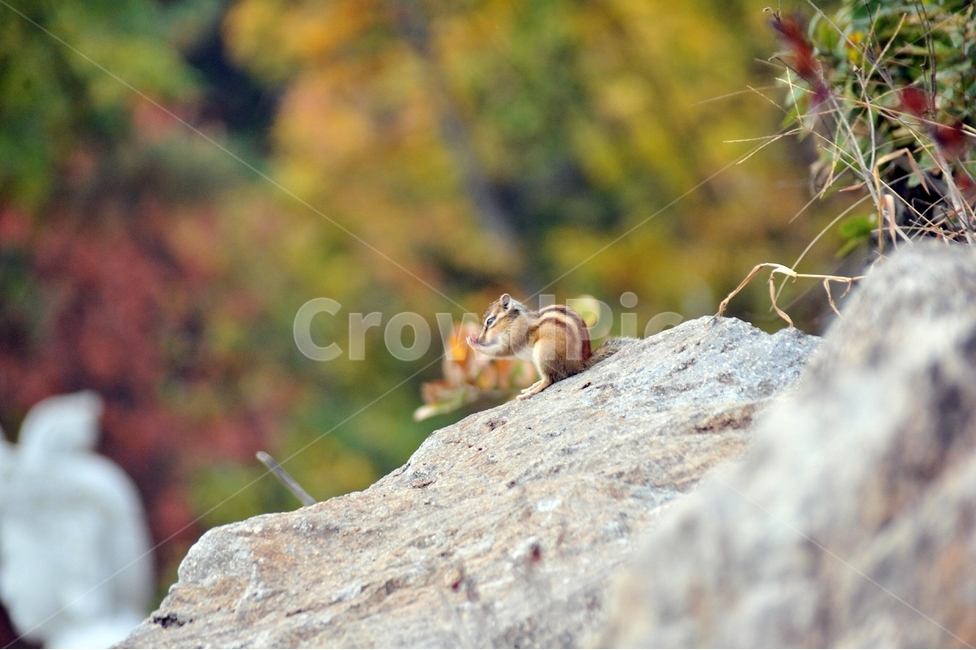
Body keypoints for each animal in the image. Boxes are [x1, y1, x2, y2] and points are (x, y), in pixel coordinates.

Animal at [467, 293, 633, 400]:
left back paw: (532, 391)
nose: (480, 338)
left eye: (490, 321)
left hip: (543, 353)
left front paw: (473, 342)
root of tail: (580, 363)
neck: (515, 320)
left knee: (550, 379)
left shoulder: (516, 335)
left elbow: (503, 351)